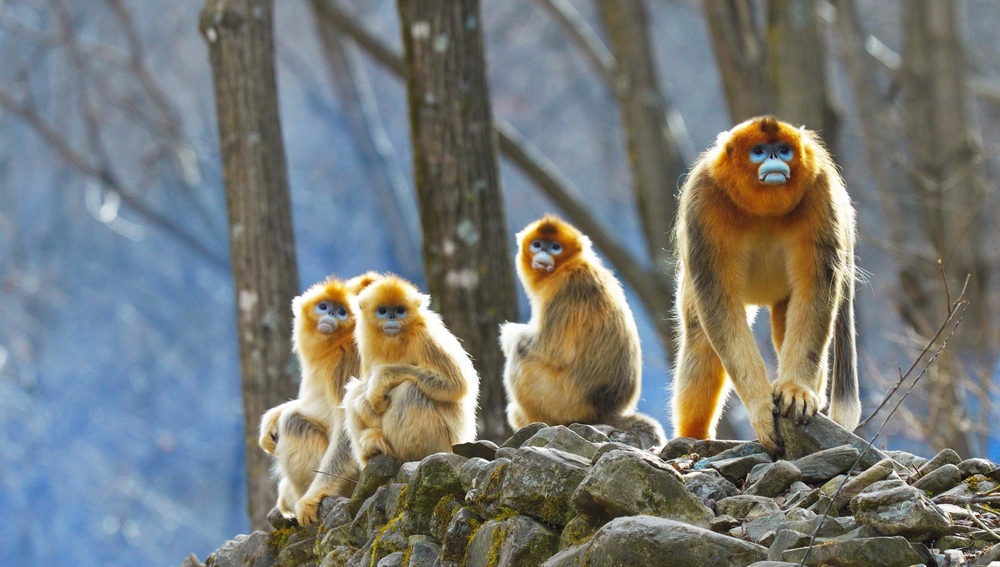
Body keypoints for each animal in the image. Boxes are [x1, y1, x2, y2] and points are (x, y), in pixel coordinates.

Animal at [257, 272, 380, 525]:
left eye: (341, 311)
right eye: (323, 306)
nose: (330, 314)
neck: (337, 344)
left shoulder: (348, 360)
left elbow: (346, 429)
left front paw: (311, 499)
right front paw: (269, 423)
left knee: (293, 422)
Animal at [342, 275, 479, 466]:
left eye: (400, 310)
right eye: (383, 310)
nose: (392, 317)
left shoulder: (425, 335)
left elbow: (457, 385)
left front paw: (379, 382)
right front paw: (367, 402)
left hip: (441, 441)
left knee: (408, 390)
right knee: (353, 392)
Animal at [499, 215, 666, 448]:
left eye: (555, 247)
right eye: (537, 244)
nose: (544, 252)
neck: (566, 266)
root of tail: (603, 412)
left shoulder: (566, 286)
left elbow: (551, 349)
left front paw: (508, 335)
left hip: (564, 403)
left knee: (521, 353)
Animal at [672, 115, 860, 454]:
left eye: (783, 150)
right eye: (759, 151)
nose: (774, 159)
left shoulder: (820, 190)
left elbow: (815, 290)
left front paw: (796, 390)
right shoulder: (703, 198)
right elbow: (718, 306)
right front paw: (760, 407)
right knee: (700, 338)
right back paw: (693, 435)